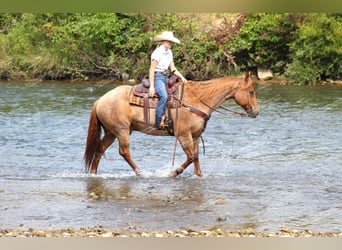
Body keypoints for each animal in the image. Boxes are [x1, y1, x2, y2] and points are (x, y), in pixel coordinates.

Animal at [83, 72, 260, 178]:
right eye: (251, 91)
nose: (256, 112)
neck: (196, 99)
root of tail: (100, 100)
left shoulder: (196, 136)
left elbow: (196, 158)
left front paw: (199, 176)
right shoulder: (183, 135)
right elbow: (191, 157)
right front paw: (174, 173)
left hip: (111, 133)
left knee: (99, 150)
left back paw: (93, 174)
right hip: (122, 131)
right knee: (124, 152)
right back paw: (141, 173)